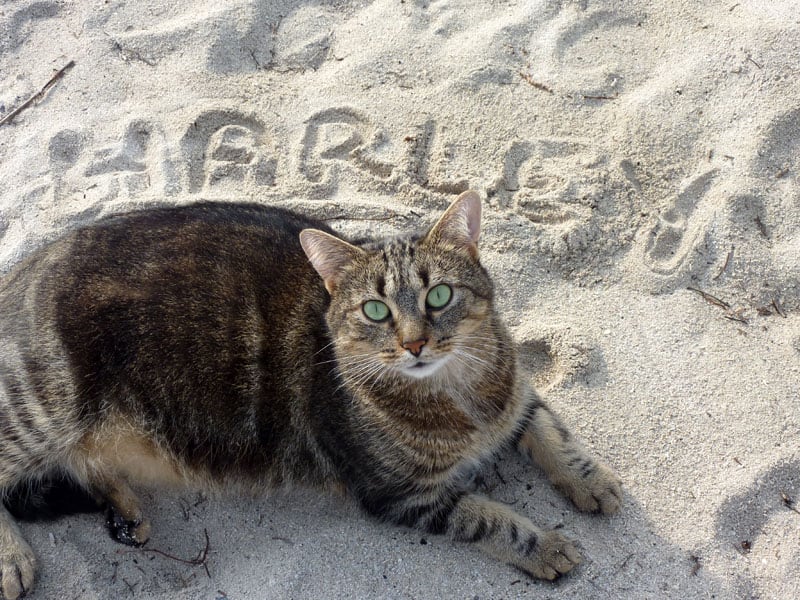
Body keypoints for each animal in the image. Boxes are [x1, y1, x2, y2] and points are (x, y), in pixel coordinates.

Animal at [0, 191, 620, 596]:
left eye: (440, 296)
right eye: (376, 310)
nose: (415, 343)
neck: (460, 395)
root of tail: (18, 272)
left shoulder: (515, 400)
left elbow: (550, 430)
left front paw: (593, 482)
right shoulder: (400, 496)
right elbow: (491, 517)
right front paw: (544, 545)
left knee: (81, 466)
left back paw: (125, 511)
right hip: (45, 407)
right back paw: (13, 559)